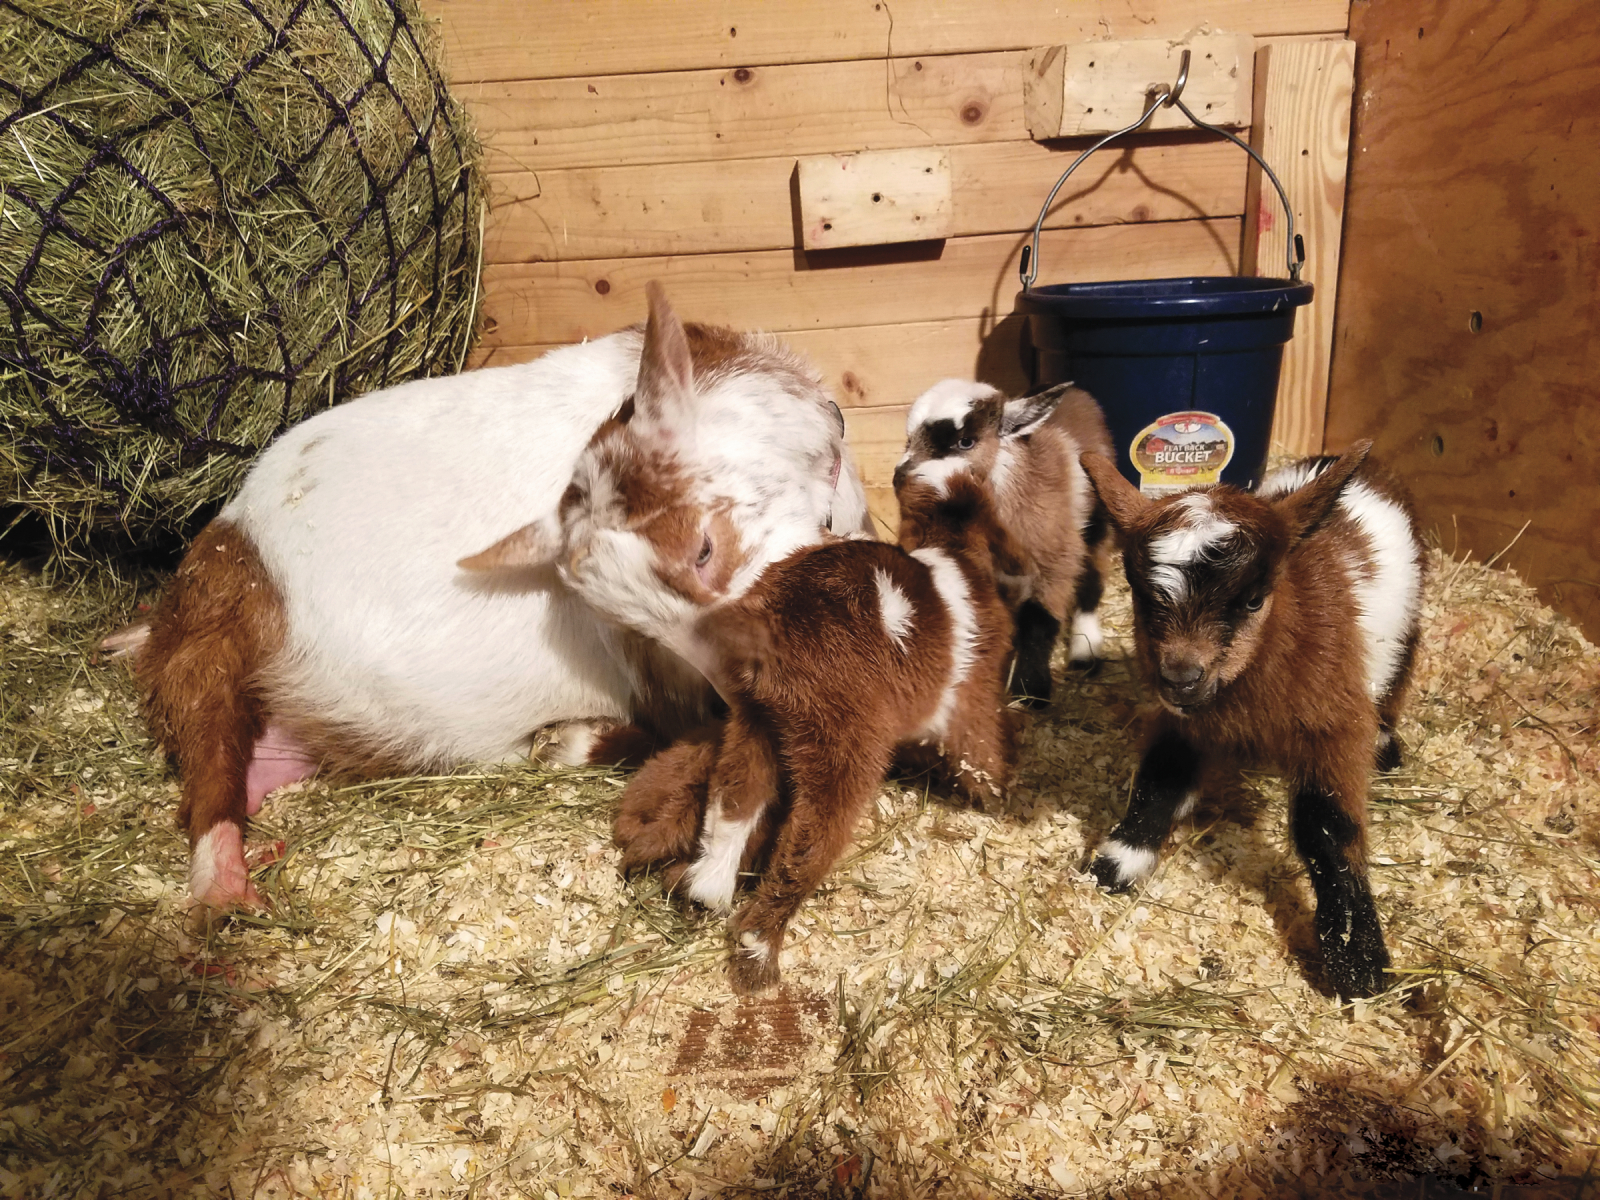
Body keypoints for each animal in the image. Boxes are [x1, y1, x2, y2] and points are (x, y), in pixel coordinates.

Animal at [614, 468, 1021, 992]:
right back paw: (759, 955)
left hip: (756, 726)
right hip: (842, 752)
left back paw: (704, 891)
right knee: (805, 844)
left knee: (734, 803)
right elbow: (983, 762)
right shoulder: (972, 707)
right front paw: (999, 803)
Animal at [896, 379, 1115, 705]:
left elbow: (1040, 620)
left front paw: (1031, 690)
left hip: (1094, 524)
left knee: (1092, 580)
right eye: (909, 438)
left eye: (966, 442)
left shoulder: (1054, 560)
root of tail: (1079, 394)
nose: (899, 477)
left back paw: (1084, 654)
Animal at [1078, 442, 1426, 999]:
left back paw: (1388, 745)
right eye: (1140, 597)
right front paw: (1119, 860)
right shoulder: (1184, 721)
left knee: (1399, 677)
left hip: (1409, 628)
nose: (1180, 677)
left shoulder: (1331, 724)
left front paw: (1359, 962)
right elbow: (1160, 777)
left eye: (1252, 599)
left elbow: (1325, 827)